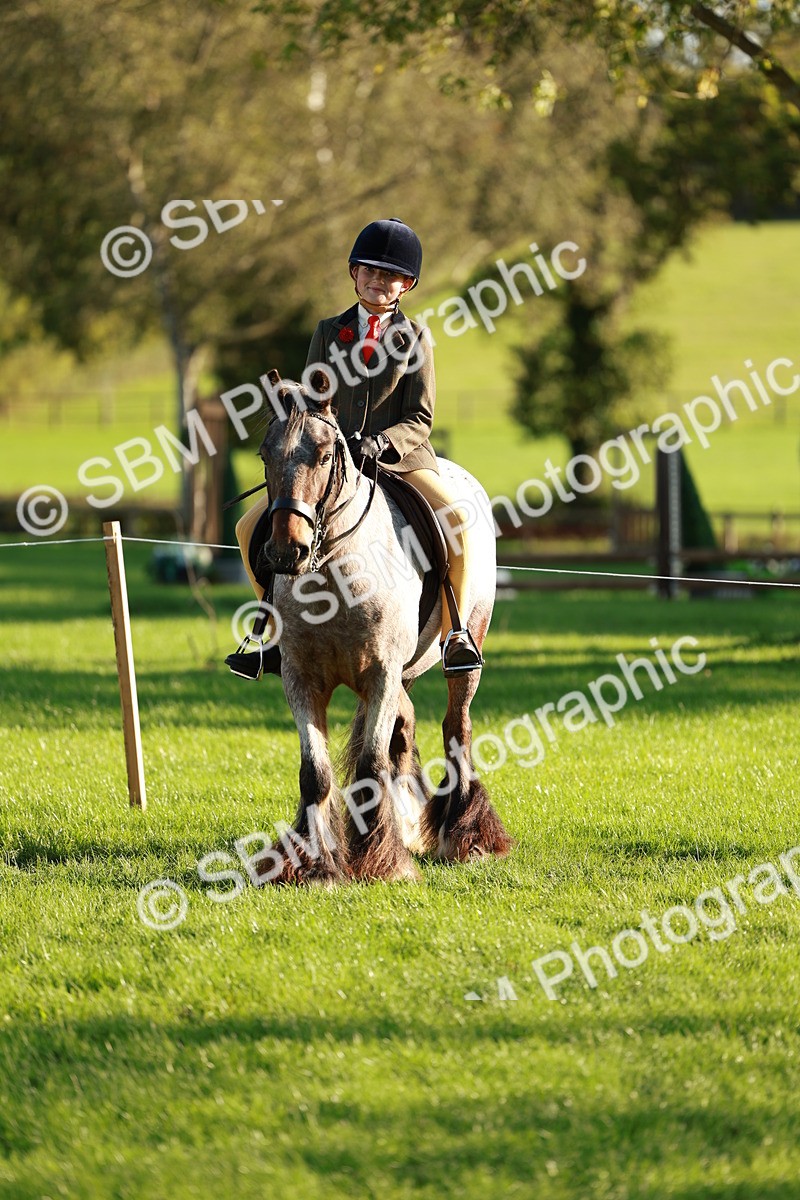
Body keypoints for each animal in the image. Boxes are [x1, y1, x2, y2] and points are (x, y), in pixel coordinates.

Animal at [252, 369, 512, 885]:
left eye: (325, 456)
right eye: (266, 455)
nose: (286, 551)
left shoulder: (381, 674)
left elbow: (372, 762)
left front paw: (381, 862)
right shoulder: (300, 678)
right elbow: (316, 771)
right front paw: (314, 864)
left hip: (463, 649)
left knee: (456, 728)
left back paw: (467, 837)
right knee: (404, 731)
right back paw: (408, 823)